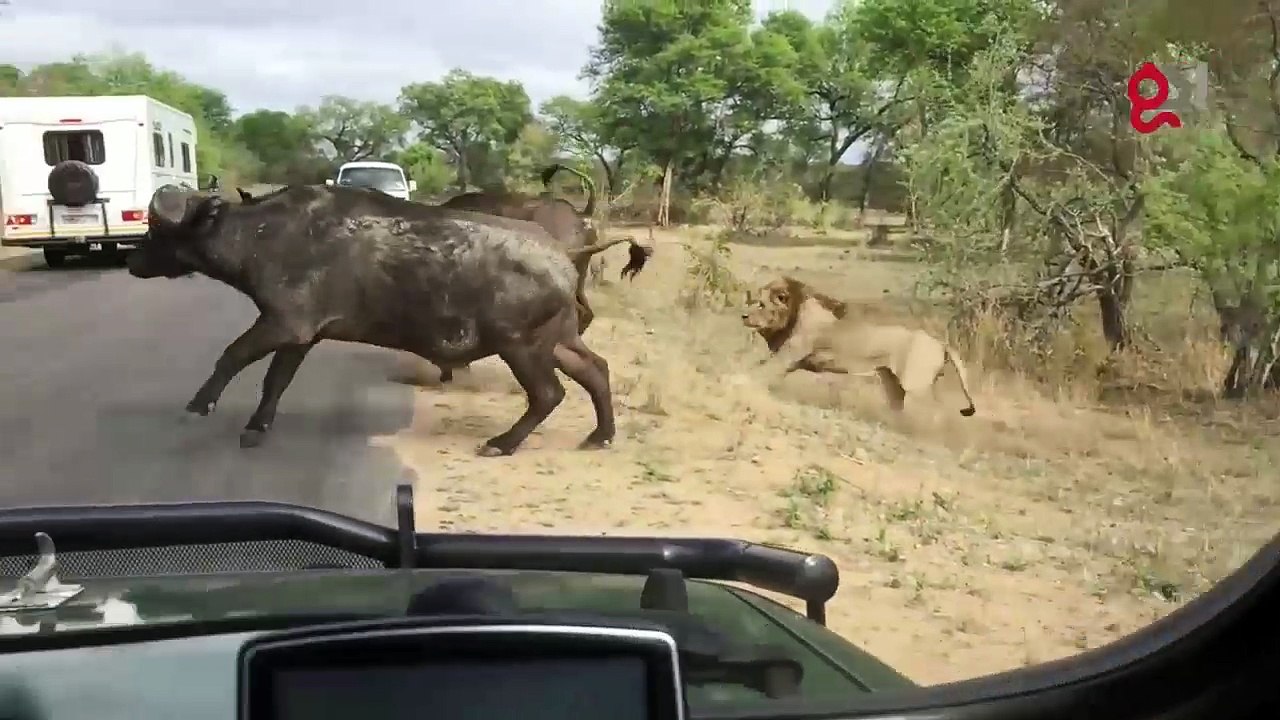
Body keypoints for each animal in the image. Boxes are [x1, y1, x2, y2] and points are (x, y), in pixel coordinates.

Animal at [127, 183, 630, 456]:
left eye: (159, 231)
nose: (132, 261)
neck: (264, 234)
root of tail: (563, 254)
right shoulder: (301, 337)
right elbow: (275, 381)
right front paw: (256, 427)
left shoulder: (283, 324)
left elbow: (231, 356)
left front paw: (198, 406)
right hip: (558, 341)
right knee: (596, 371)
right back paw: (601, 435)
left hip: (520, 345)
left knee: (548, 393)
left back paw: (502, 443)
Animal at [742, 276, 977, 416]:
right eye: (752, 301)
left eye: (761, 304)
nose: (743, 315)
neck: (793, 312)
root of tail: (940, 339)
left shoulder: (787, 356)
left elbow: (757, 372)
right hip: (892, 382)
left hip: (916, 385)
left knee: (937, 413)